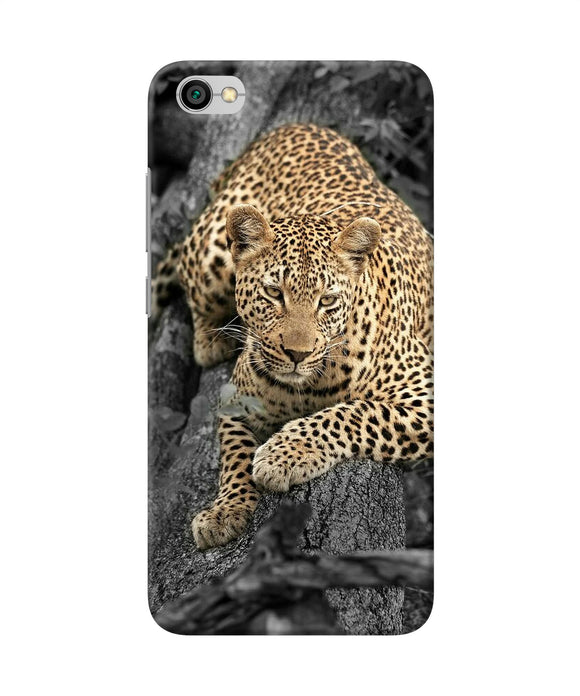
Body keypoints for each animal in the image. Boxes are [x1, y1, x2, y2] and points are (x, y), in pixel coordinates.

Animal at [153, 123, 433, 550]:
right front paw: (225, 510)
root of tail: (294, 126)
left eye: (326, 300)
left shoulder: (425, 396)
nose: (297, 354)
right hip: (211, 252)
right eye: (273, 293)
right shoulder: (235, 400)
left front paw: (283, 455)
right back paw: (211, 340)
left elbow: (354, 413)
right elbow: (234, 454)